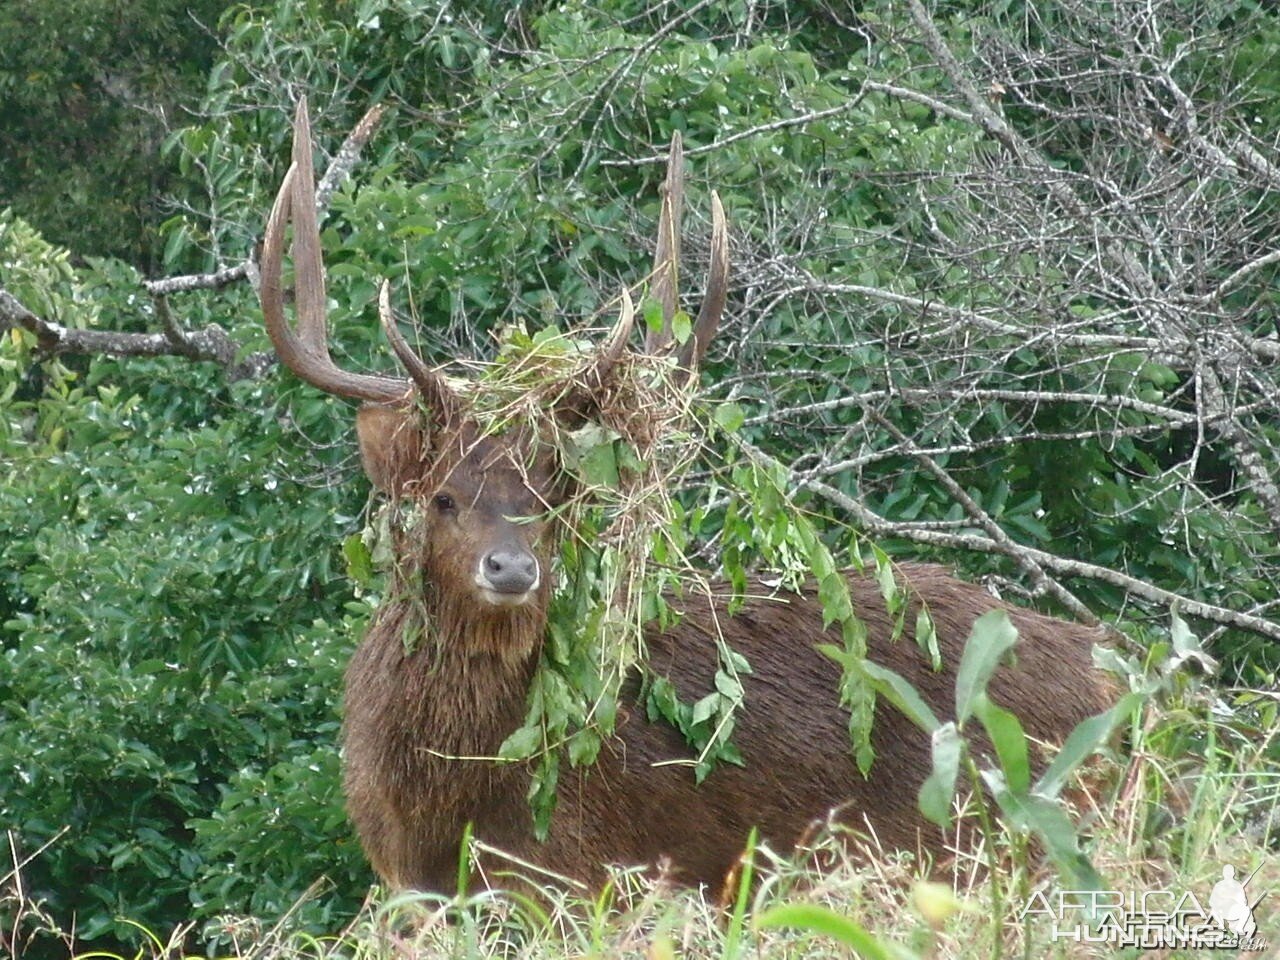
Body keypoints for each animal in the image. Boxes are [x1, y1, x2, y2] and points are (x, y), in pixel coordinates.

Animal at [262, 101, 1121, 901]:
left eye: (558, 492)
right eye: (442, 496)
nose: (511, 569)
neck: (442, 810)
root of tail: (1131, 680)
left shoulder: (591, 873)